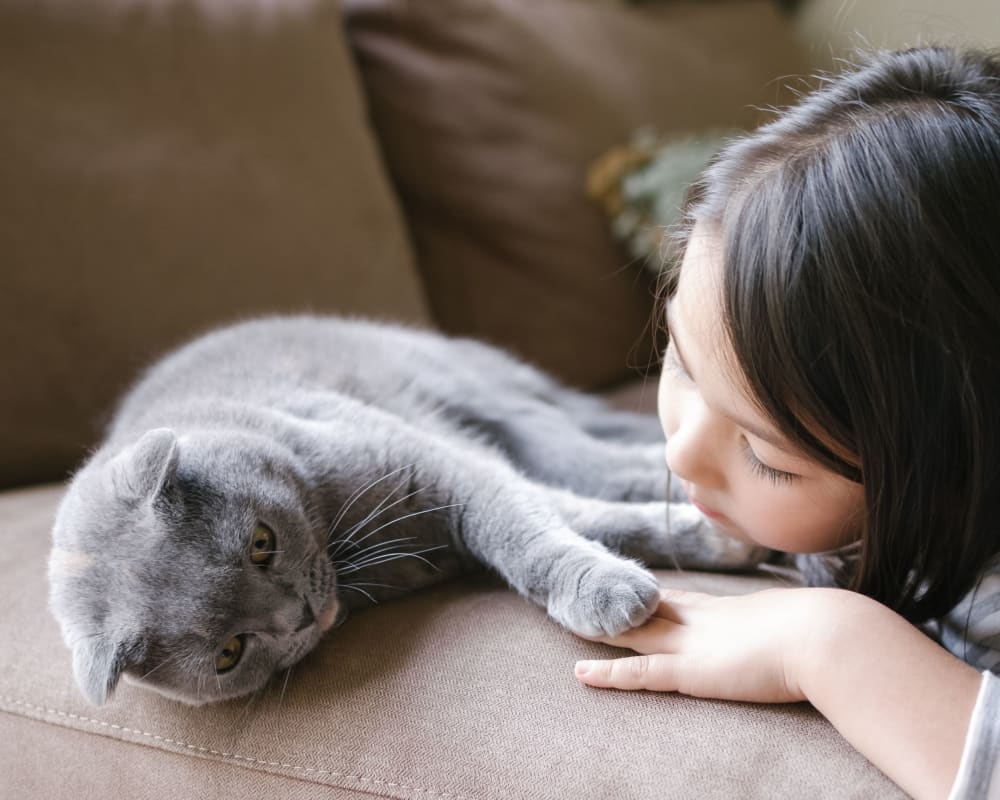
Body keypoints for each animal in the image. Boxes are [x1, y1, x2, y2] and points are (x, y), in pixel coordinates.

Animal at [48, 316, 764, 704]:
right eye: (229, 652)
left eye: (261, 542)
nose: (301, 615)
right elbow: (570, 516)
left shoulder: (441, 464)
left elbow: (530, 533)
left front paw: (613, 588)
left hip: (501, 404)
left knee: (601, 458)